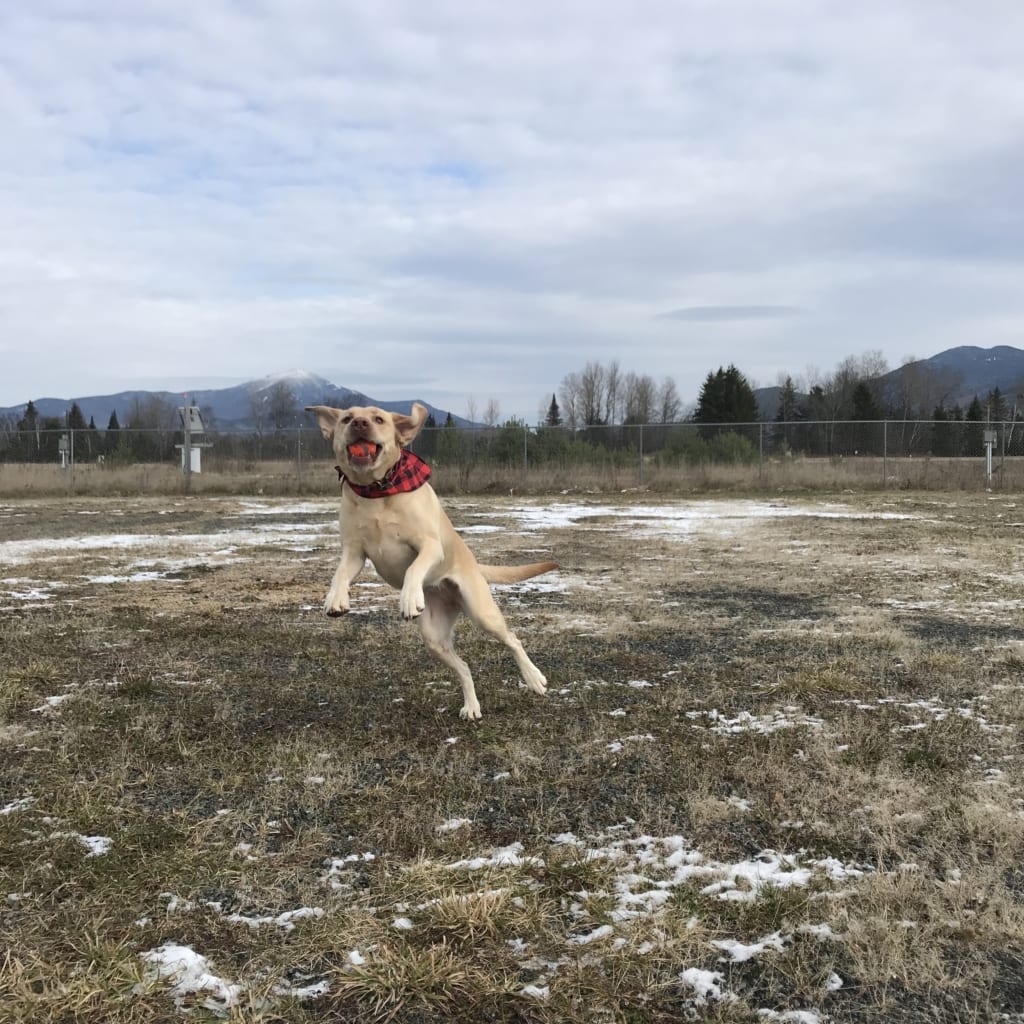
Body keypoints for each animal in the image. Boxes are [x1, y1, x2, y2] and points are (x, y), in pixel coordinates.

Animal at [305, 401, 557, 720]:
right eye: (347, 418)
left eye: (379, 419)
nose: (360, 424)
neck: (375, 491)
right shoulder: (354, 552)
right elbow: (339, 574)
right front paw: (335, 600)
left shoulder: (430, 546)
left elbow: (414, 568)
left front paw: (409, 598)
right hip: (434, 639)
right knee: (464, 668)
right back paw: (472, 706)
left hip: (482, 612)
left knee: (513, 639)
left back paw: (534, 678)